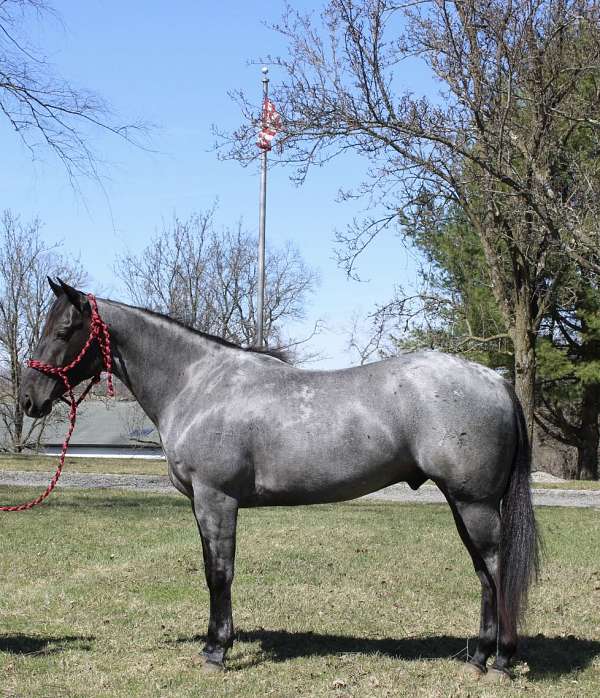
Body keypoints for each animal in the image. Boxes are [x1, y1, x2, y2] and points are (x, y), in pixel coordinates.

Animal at [20, 279, 539, 680]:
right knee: (484, 573)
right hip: (462, 503)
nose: (29, 398)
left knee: (496, 569)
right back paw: (478, 658)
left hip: (473, 503)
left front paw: (216, 651)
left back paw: (500, 662)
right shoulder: (204, 505)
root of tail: (495, 380)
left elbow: (219, 573)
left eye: (64, 329)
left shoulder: (216, 499)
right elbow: (213, 569)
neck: (198, 384)